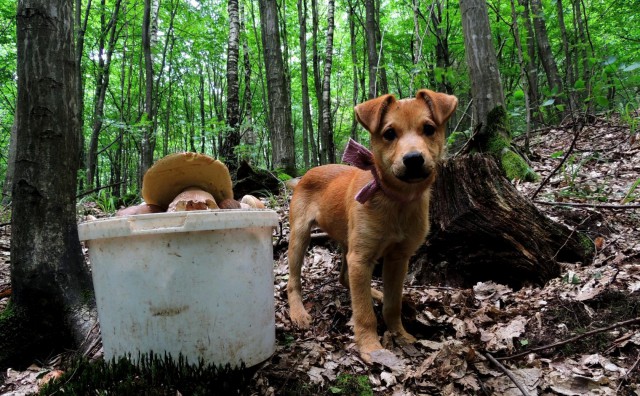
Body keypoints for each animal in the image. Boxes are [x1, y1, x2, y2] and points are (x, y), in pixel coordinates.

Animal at [288, 89, 458, 362]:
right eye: (389, 133)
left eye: (429, 129)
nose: (413, 159)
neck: (396, 200)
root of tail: (305, 175)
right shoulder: (361, 258)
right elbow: (364, 313)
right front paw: (370, 347)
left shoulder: (398, 257)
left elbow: (393, 304)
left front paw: (401, 334)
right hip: (299, 236)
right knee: (293, 280)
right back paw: (298, 312)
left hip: (348, 243)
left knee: (345, 278)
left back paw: (373, 292)